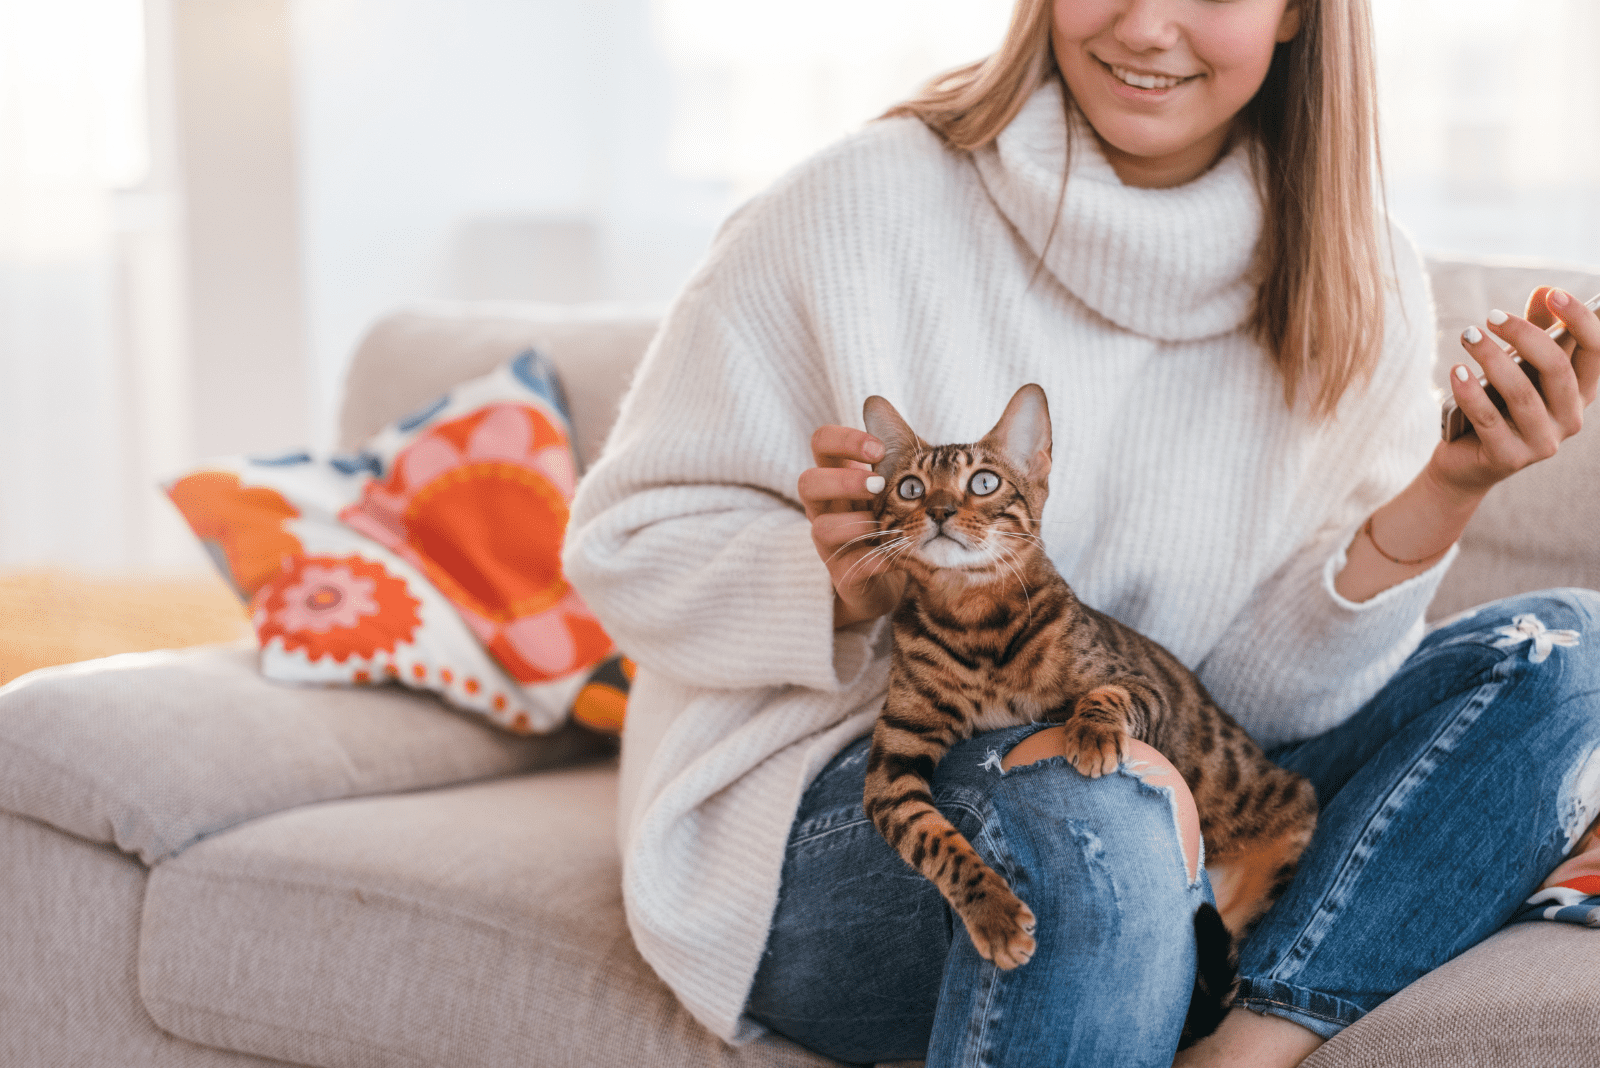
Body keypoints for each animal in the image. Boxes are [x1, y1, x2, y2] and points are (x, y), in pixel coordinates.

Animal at [857, 382, 1318, 1036]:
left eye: (983, 483)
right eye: (911, 489)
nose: (939, 511)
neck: (973, 621)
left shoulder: (1136, 680)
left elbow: (1106, 696)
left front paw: (1091, 736)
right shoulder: (892, 768)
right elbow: (933, 838)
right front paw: (993, 912)